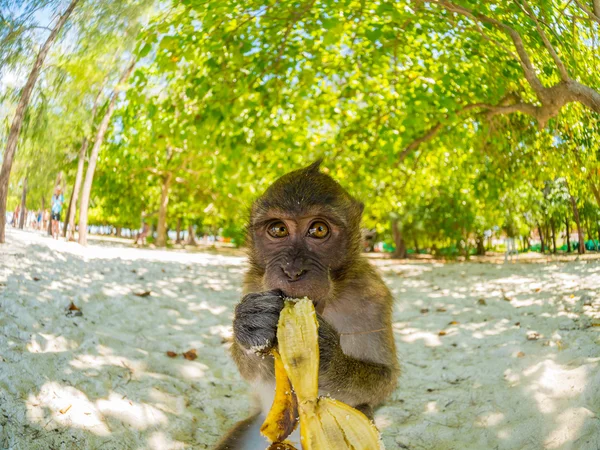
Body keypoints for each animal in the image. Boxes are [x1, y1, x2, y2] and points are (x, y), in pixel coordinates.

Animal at [213, 160, 400, 448]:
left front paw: (329, 356)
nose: (292, 271)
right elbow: (254, 375)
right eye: (278, 229)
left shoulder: (373, 297)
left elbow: (385, 378)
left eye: (319, 229)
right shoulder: (254, 285)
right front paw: (250, 324)